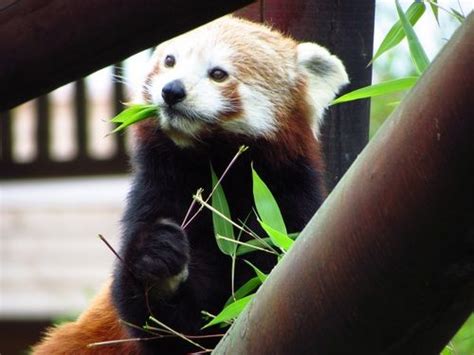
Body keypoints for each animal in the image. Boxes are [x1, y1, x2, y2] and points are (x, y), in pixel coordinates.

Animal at [31, 15, 346, 354]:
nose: (172, 90)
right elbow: (152, 318)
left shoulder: (286, 206)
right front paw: (158, 262)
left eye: (218, 73)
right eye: (170, 61)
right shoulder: (157, 191)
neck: (213, 170)